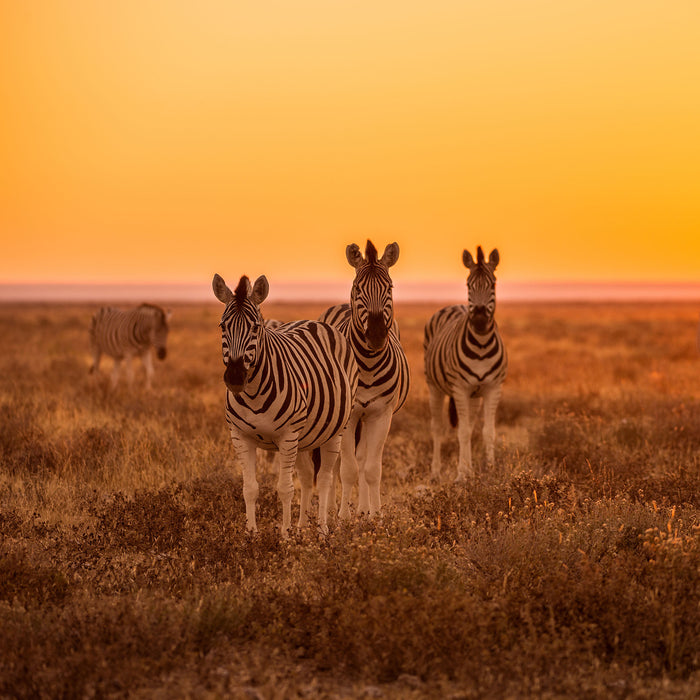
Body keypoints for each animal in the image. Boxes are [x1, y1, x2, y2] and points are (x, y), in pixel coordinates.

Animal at [212, 270, 356, 532]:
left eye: (255, 327)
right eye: (223, 326)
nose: (235, 377)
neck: (253, 393)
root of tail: (314, 322)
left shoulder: (287, 436)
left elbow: (285, 489)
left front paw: (285, 536)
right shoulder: (240, 436)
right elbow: (250, 488)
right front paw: (251, 534)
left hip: (334, 431)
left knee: (325, 478)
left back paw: (322, 530)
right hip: (305, 436)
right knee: (308, 477)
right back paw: (302, 528)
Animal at [318, 241, 410, 520]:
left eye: (389, 288)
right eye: (358, 288)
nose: (377, 336)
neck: (368, 365)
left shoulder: (381, 414)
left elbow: (371, 468)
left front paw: (375, 516)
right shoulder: (349, 416)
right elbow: (347, 469)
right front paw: (342, 518)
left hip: (367, 418)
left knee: (362, 458)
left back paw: (363, 509)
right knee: (337, 462)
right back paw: (332, 509)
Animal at [424, 246, 506, 482]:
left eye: (493, 284)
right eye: (469, 285)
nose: (478, 320)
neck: (481, 346)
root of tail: (454, 305)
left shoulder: (492, 387)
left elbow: (487, 431)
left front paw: (490, 469)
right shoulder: (460, 388)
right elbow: (461, 432)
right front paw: (461, 474)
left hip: (474, 395)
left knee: (468, 426)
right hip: (434, 386)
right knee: (438, 427)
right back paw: (436, 472)